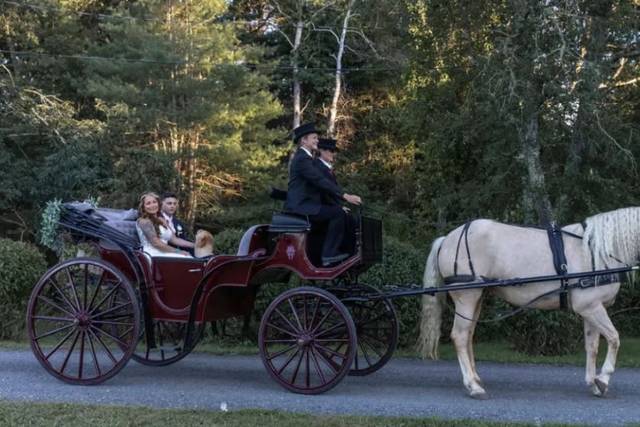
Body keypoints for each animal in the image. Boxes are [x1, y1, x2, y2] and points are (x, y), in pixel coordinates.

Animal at [418, 208, 636, 402]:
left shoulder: (592, 308)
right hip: (467, 296)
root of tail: (446, 239)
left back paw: (476, 379)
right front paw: (603, 379)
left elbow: (592, 346)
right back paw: (473, 386)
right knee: (460, 336)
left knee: (469, 335)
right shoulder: (590, 307)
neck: (598, 251)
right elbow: (614, 338)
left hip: (476, 298)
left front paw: (593, 383)